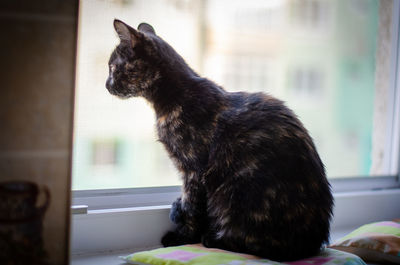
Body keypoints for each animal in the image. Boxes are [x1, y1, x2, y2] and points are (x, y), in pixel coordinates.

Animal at [104, 19, 332, 260]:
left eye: (113, 67)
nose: (106, 84)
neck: (174, 97)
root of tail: (312, 244)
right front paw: (178, 211)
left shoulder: (194, 170)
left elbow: (193, 207)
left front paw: (182, 236)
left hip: (237, 193)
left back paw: (212, 238)